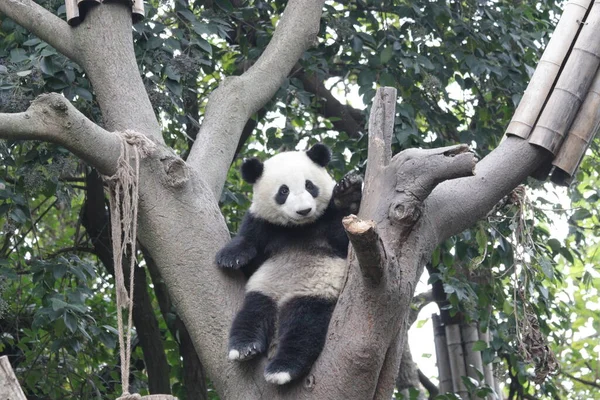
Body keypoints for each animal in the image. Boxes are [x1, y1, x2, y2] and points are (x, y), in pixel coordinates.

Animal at [216, 143, 360, 384]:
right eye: (283, 191)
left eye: (309, 185)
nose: (303, 210)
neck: (298, 228)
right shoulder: (264, 224)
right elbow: (249, 243)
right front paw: (230, 257)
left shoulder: (330, 225)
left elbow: (345, 239)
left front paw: (347, 192)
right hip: (265, 288)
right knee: (253, 312)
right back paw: (244, 347)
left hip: (315, 292)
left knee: (305, 327)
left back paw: (282, 369)